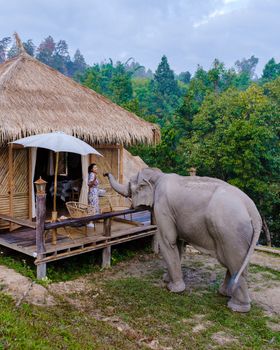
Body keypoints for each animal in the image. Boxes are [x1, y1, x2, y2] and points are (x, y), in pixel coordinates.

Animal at [103, 167, 262, 312]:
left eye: (131, 184)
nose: (105, 173)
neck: (159, 176)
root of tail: (253, 210)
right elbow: (177, 245)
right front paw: (167, 279)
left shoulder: (163, 208)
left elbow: (168, 241)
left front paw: (173, 289)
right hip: (239, 234)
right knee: (237, 263)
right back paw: (225, 294)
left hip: (230, 229)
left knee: (233, 261)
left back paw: (237, 307)